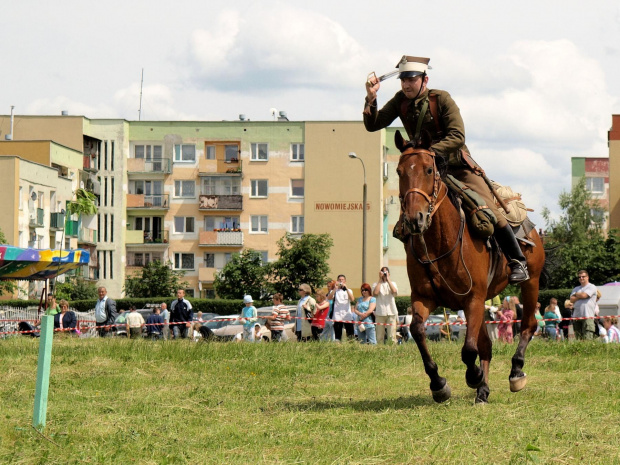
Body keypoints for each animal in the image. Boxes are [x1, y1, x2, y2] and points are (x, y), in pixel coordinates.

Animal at [394, 130, 544, 402]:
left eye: (428, 170)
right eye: (400, 171)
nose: (414, 219)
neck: (441, 242)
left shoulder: (473, 298)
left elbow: (468, 349)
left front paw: (473, 376)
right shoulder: (424, 297)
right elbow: (418, 330)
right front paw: (439, 384)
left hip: (531, 283)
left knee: (528, 325)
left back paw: (515, 372)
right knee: (486, 345)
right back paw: (483, 390)